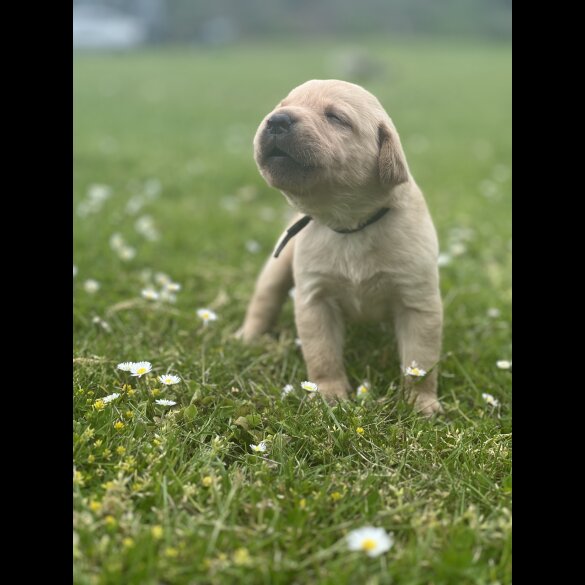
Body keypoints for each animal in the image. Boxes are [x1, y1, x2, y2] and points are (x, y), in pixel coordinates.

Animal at [240, 80, 440, 416]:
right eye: (281, 106)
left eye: (335, 117)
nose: (277, 120)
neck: (350, 224)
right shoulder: (315, 299)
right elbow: (322, 355)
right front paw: (328, 395)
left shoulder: (419, 303)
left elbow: (420, 363)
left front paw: (421, 404)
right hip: (277, 269)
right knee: (263, 302)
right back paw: (245, 338)